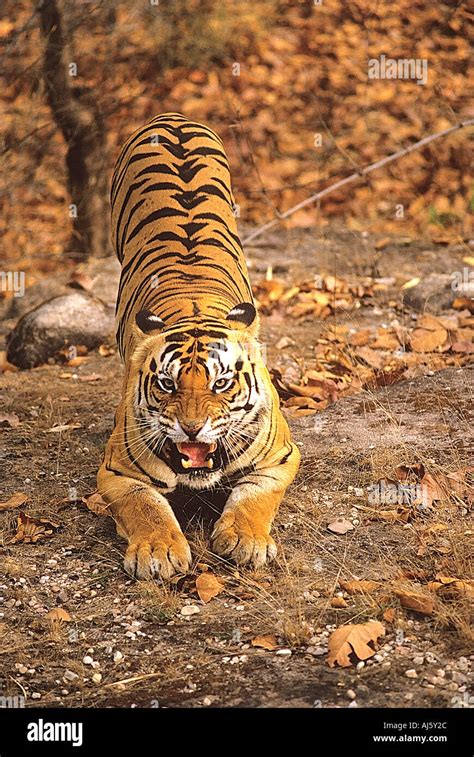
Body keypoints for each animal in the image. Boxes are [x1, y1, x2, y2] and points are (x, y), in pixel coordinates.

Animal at [97, 113, 300, 580]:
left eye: (221, 383)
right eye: (167, 385)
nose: (192, 429)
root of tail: (168, 116)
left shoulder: (280, 457)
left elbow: (254, 497)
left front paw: (245, 540)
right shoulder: (117, 470)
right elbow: (144, 507)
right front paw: (157, 551)